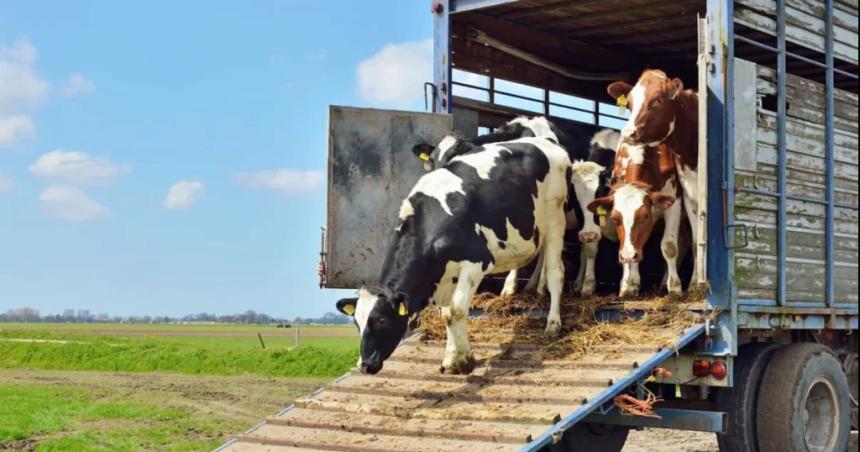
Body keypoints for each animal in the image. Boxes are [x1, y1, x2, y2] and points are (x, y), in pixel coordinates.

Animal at [336, 135, 572, 374]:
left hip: (555, 218)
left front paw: (465, 360)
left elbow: (457, 310)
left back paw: (553, 324)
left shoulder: (476, 262)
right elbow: (446, 314)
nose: (365, 365)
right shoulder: (445, 274)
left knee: (556, 273)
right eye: (357, 323)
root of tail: (544, 141)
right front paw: (451, 358)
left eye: (382, 320)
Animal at [604, 69, 700, 292]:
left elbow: (670, 246)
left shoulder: (675, 199)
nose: (628, 133)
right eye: (629, 103)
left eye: (657, 100)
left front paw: (676, 288)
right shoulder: (689, 196)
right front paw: (629, 285)